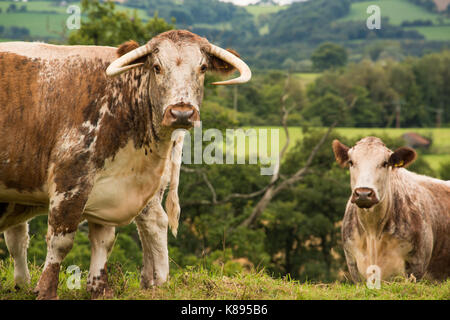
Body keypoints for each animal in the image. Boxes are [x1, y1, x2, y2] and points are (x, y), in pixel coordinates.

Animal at [0, 28, 251, 298]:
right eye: (156, 67)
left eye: (203, 67)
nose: (181, 113)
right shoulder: (71, 181)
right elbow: (60, 240)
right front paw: (44, 290)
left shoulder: (105, 188)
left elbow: (102, 241)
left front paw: (99, 290)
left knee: (154, 222)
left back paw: (156, 282)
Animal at [332, 136, 448, 282]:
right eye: (351, 162)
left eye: (385, 163)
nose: (363, 193)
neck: (372, 232)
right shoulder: (353, 265)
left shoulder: (416, 266)